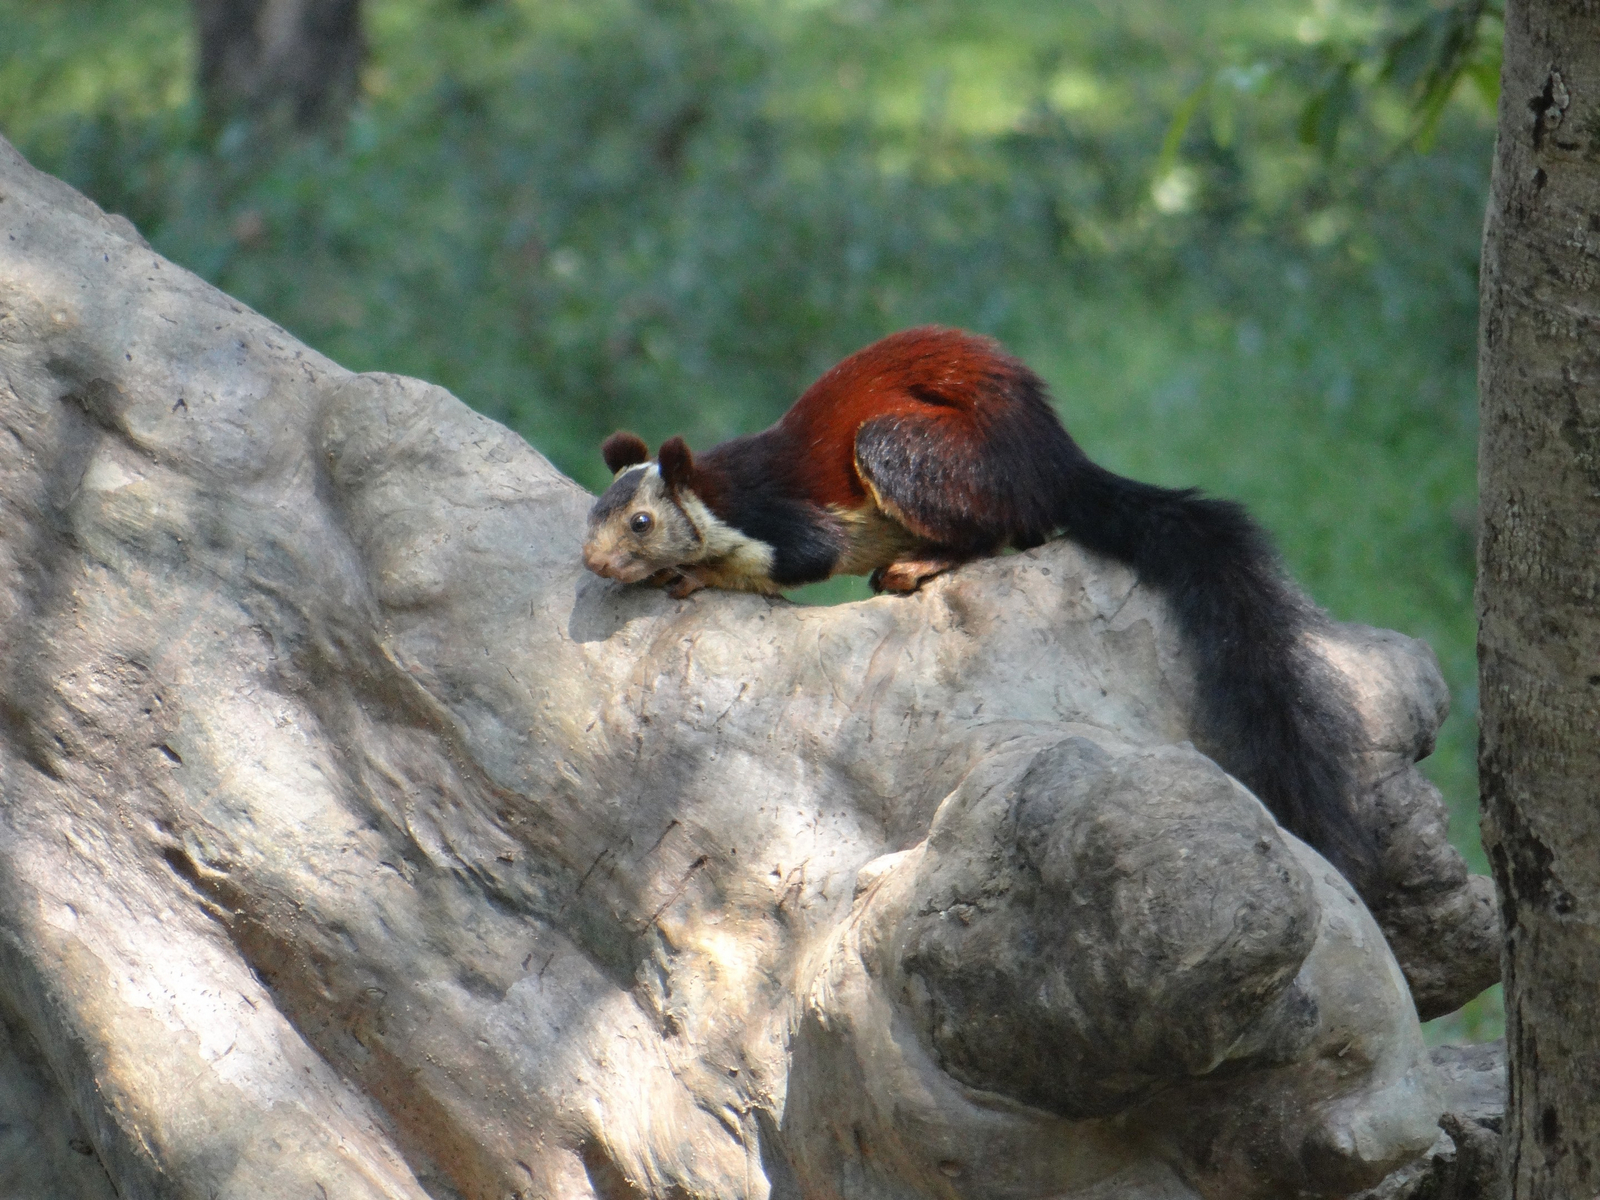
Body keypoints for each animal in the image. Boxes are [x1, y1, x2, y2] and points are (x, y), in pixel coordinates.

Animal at [583, 326, 1374, 885]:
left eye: (642, 523)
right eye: (596, 509)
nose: (593, 560)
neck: (721, 494)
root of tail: (1053, 464)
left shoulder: (791, 522)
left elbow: (782, 562)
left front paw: (697, 575)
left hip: (907, 450)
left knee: (999, 534)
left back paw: (918, 564)